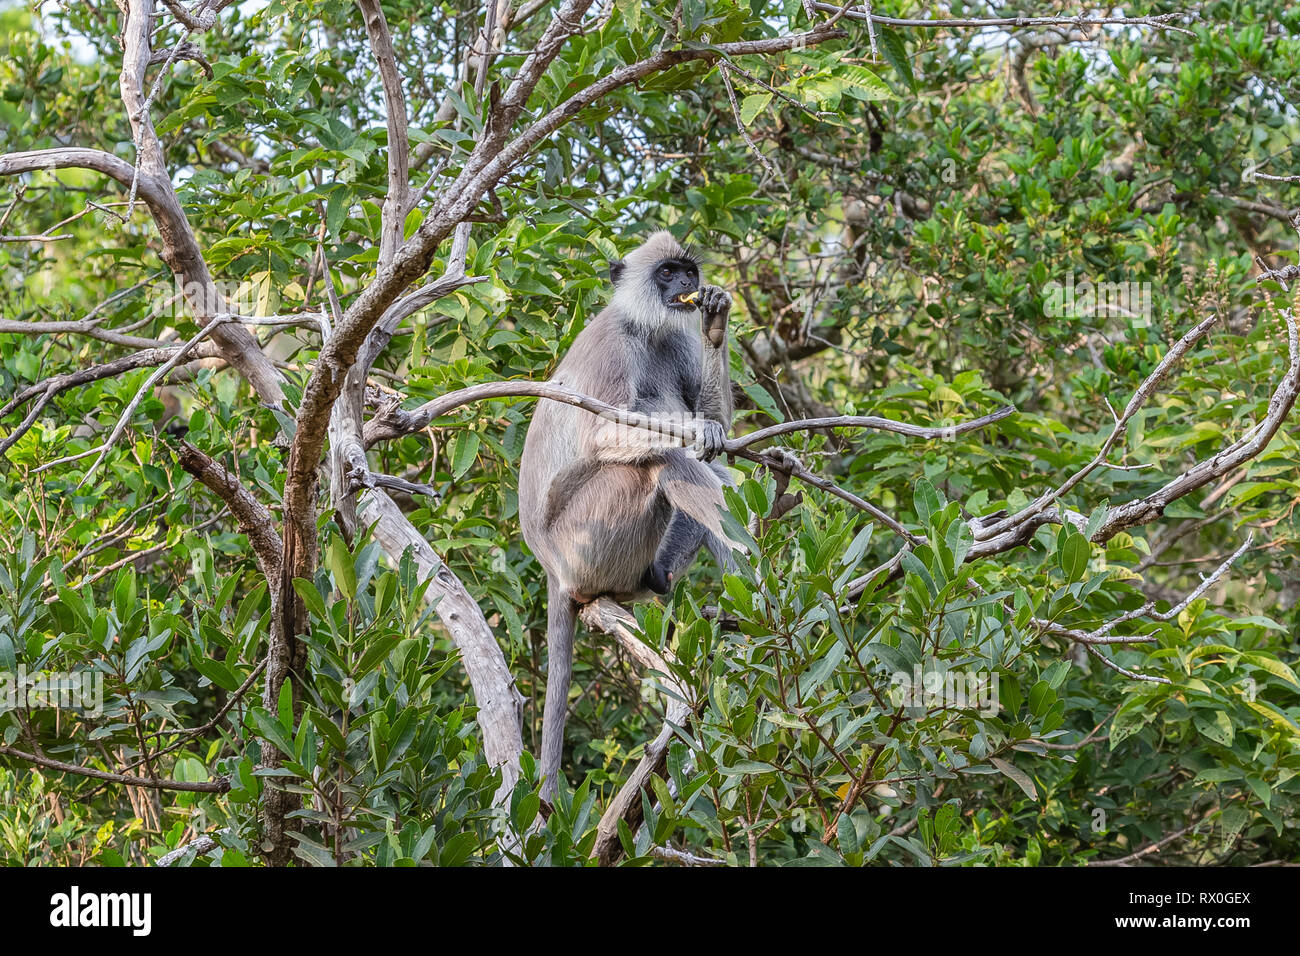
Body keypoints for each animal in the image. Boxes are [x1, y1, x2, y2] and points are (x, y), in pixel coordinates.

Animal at [517, 231, 743, 801]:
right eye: (666, 273)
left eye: (687, 272)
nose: (685, 284)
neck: (646, 328)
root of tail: (553, 568)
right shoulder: (613, 347)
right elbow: (606, 434)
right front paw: (696, 433)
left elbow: (715, 425)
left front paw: (715, 323)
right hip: (587, 541)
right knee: (662, 462)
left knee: (714, 474)